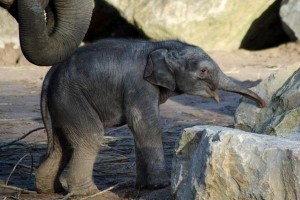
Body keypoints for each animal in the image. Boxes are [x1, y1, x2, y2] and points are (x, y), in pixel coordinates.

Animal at [35, 39, 264, 195]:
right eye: (203, 71)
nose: (261, 104)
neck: (158, 45)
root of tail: (50, 74)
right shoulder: (138, 84)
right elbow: (144, 123)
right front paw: (161, 185)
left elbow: (140, 129)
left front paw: (144, 186)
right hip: (71, 98)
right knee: (90, 136)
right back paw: (92, 193)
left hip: (62, 103)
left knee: (62, 146)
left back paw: (49, 189)